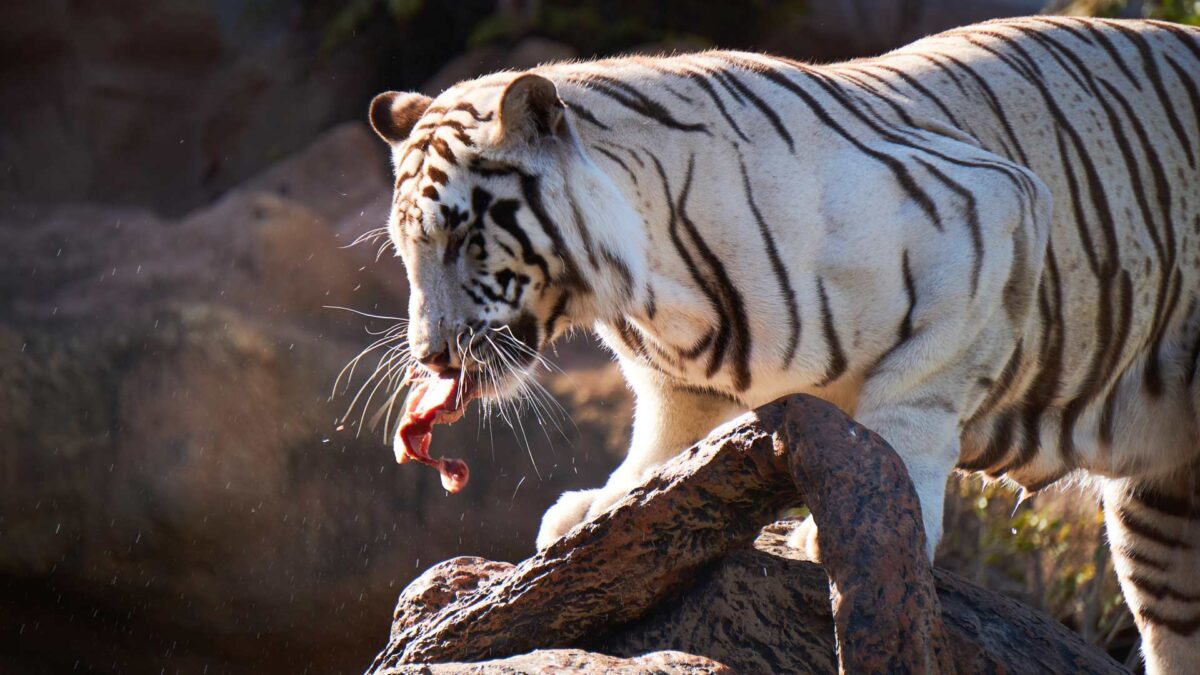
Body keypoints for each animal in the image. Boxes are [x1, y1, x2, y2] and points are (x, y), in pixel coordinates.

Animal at [364, 17, 1200, 672]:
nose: (431, 357)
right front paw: (596, 509)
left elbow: (908, 408)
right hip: (1164, 522)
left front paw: (864, 525)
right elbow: (658, 441)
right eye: (406, 248)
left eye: (464, 239)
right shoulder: (678, 380)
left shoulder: (992, 211)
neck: (643, 292)